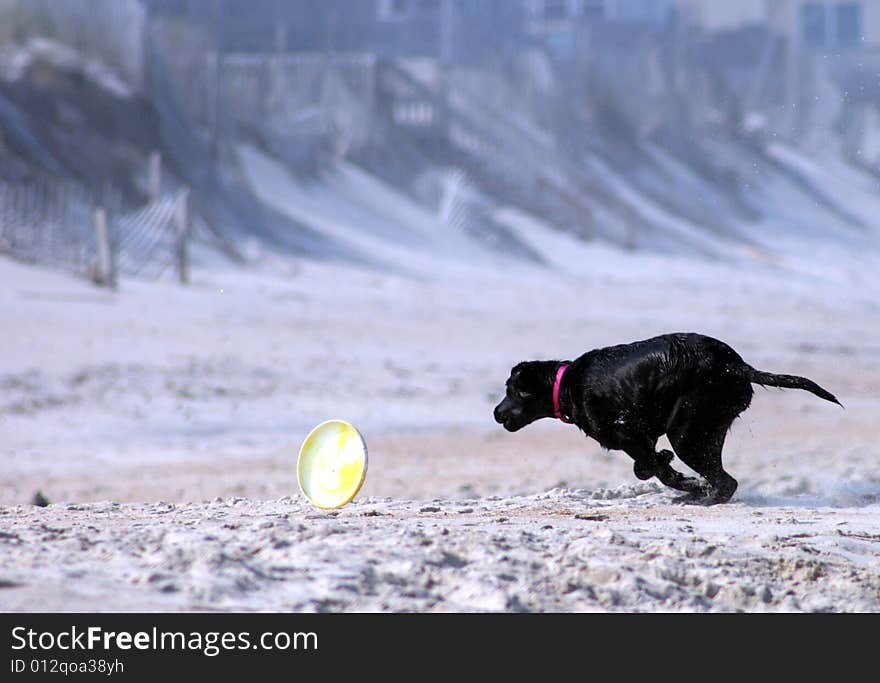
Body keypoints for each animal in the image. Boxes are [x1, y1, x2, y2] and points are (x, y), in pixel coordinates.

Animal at [492, 334, 844, 504]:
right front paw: (684, 480)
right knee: (721, 476)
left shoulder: (628, 433)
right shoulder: (642, 438)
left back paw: (702, 499)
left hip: (687, 432)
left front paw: (683, 481)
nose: (496, 412)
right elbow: (650, 467)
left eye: (510, 389)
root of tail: (735, 365)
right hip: (707, 429)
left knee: (725, 481)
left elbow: (653, 468)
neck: (566, 383)